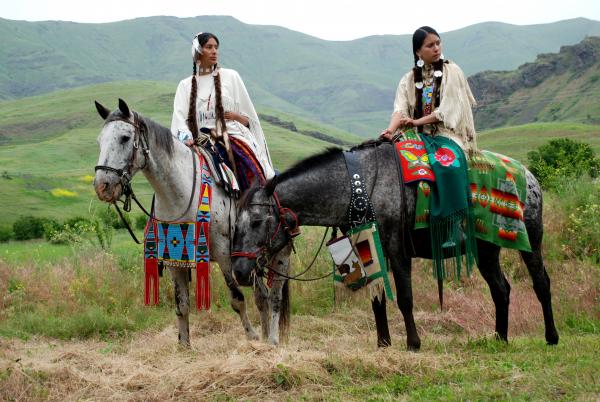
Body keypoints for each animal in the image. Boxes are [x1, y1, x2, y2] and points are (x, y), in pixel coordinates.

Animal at [93, 99, 290, 346]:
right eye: (99, 141)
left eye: (125, 138)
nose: (103, 186)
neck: (182, 193)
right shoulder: (174, 259)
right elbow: (182, 304)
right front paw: (184, 345)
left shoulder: (225, 255)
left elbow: (237, 298)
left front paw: (251, 335)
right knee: (261, 293)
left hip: (277, 254)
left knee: (271, 294)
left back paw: (268, 337)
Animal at [232, 141, 560, 348]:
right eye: (236, 224)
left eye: (258, 222)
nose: (239, 270)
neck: (358, 185)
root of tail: (528, 175)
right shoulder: (368, 251)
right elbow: (377, 300)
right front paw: (383, 343)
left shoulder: (395, 248)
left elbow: (404, 297)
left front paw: (413, 343)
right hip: (487, 251)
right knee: (500, 289)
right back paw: (500, 338)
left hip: (531, 242)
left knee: (541, 283)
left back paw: (551, 336)